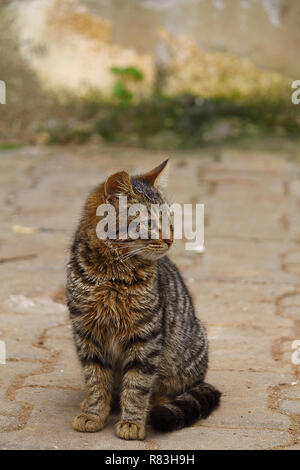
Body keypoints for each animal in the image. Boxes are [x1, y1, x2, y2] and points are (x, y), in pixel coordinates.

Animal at [66, 160, 220, 438]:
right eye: (149, 223)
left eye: (170, 221)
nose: (170, 238)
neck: (112, 274)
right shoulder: (87, 334)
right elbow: (96, 379)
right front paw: (93, 413)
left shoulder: (145, 337)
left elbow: (137, 385)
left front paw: (132, 422)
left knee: (172, 390)